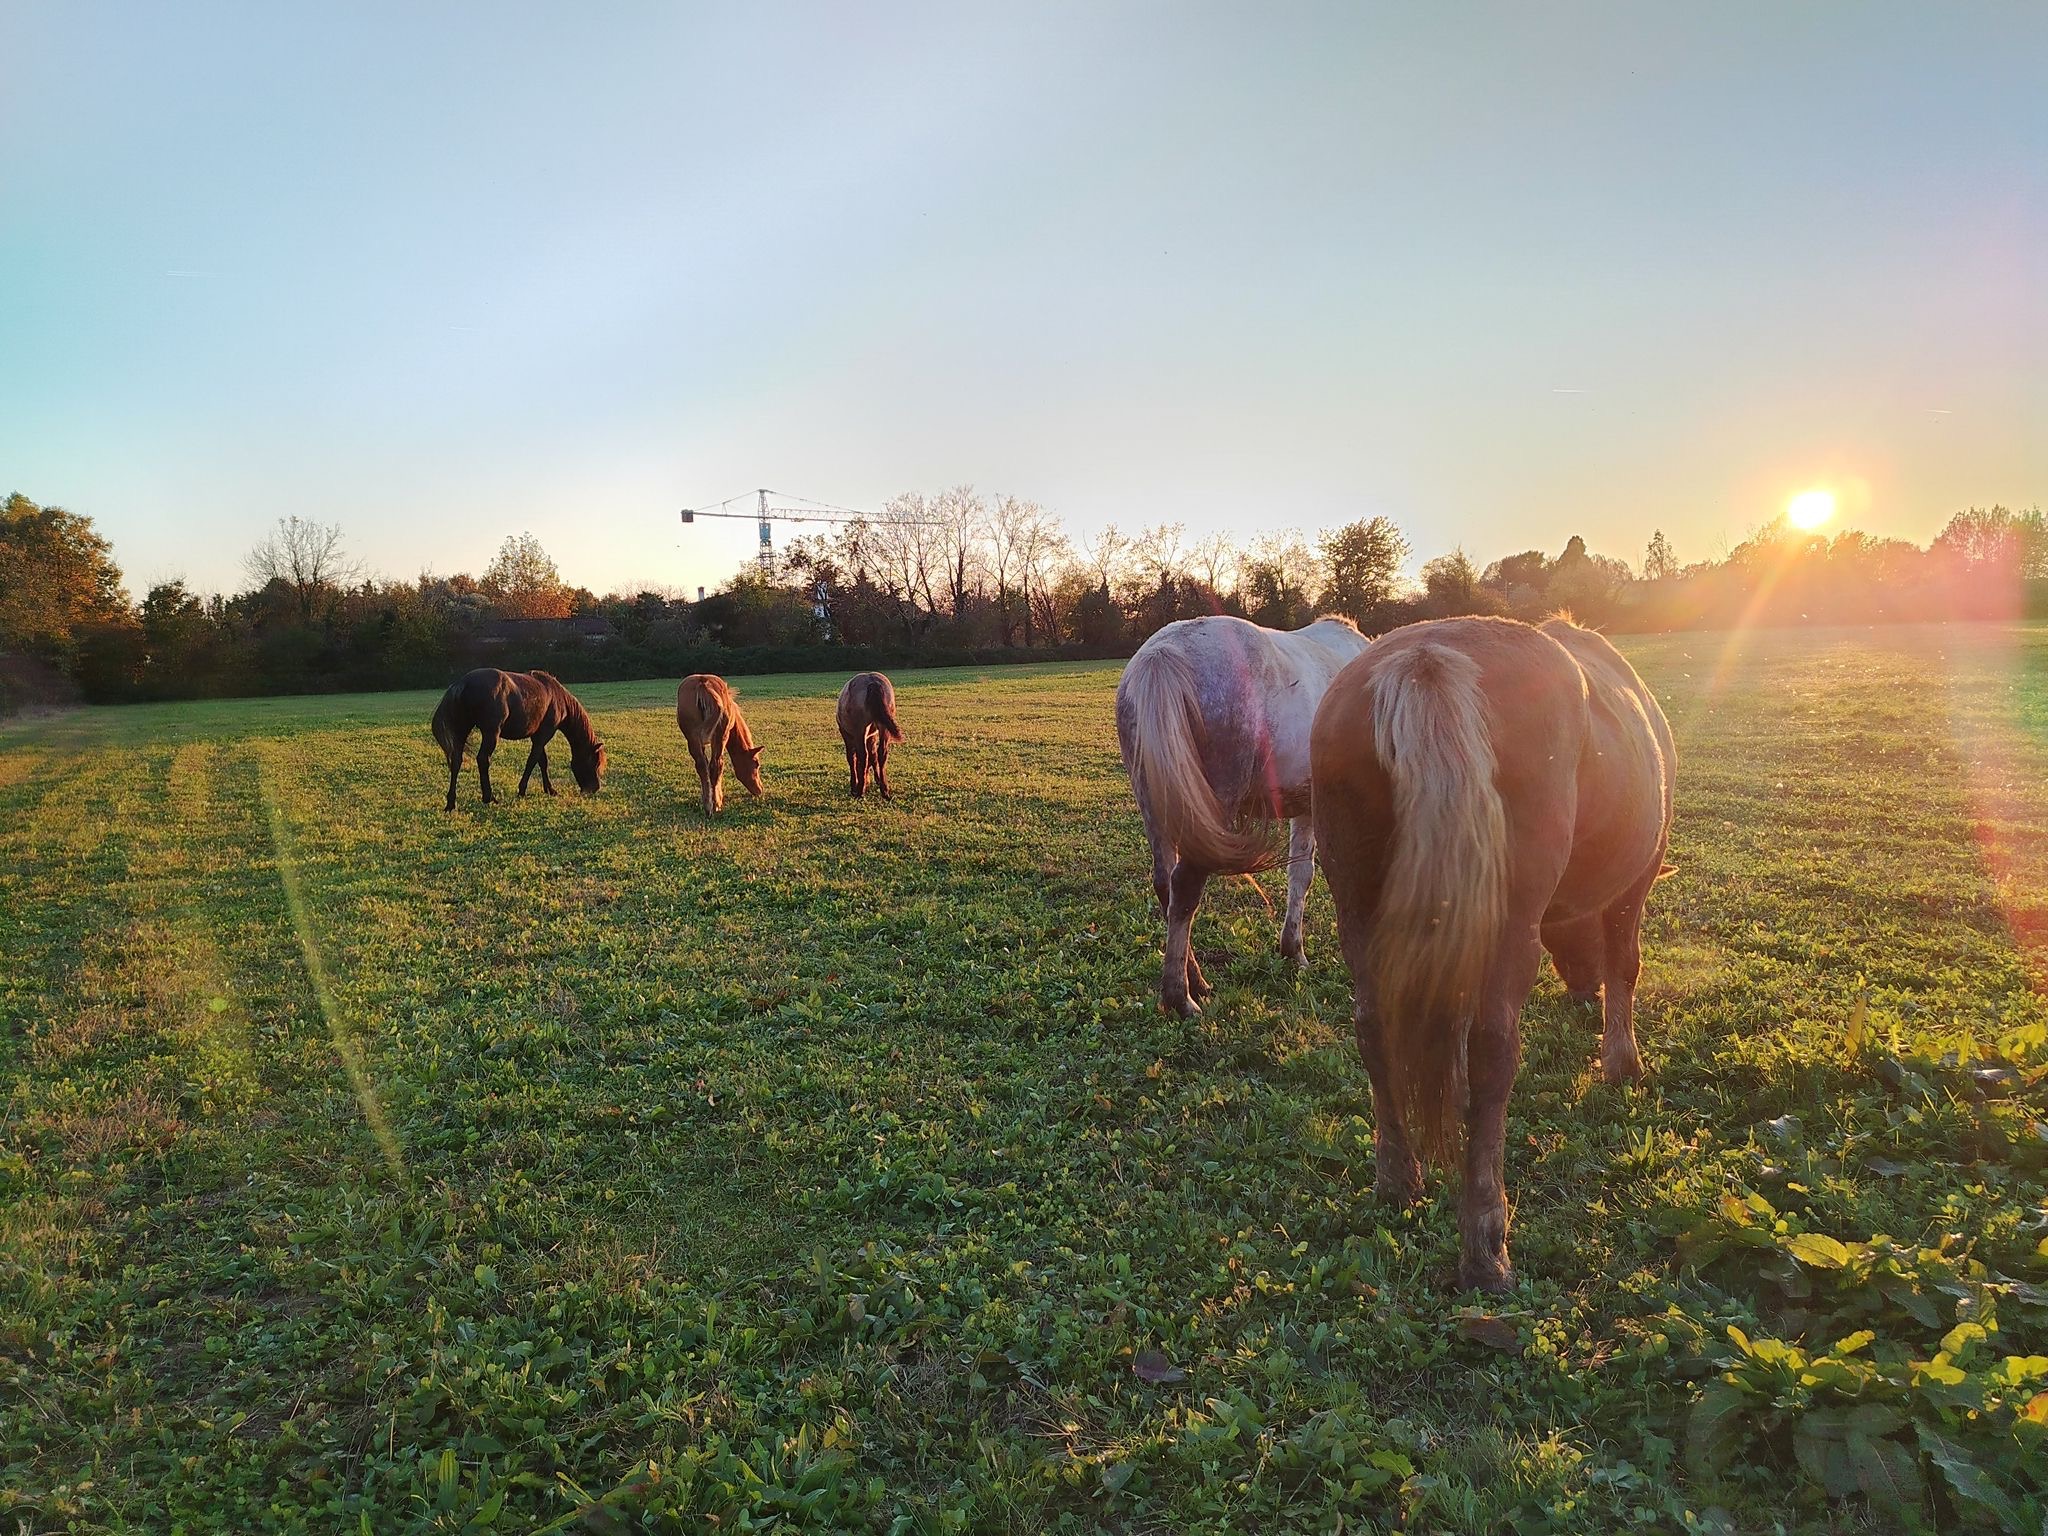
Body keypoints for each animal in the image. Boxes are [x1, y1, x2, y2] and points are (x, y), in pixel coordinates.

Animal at [431, 668, 606, 812]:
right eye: (595, 762)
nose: (594, 788)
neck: (557, 697)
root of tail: (462, 683)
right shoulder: (544, 735)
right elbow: (532, 761)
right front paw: (522, 790)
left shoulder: (537, 736)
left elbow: (542, 761)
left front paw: (549, 789)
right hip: (491, 733)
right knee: (483, 759)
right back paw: (489, 797)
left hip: (461, 732)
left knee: (456, 762)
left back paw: (451, 803)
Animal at [676, 673, 764, 817]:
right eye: (756, 764)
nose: (759, 790)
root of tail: (703, 684)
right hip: (719, 737)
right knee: (716, 765)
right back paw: (715, 805)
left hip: (695, 738)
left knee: (705, 766)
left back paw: (709, 806)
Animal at [1115, 614, 1371, 1017]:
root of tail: (1163, 652)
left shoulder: (1306, 807)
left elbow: (1300, 874)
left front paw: (1291, 950)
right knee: (1184, 886)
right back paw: (1180, 997)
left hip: (1155, 805)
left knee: (1165, 883)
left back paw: (1195, 980)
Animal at [1309, 615, 1674, 1292]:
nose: (1580, 991)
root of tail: (1426, 661)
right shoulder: (1634, 884)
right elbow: (1627, 965)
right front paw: (1622, 1062)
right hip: (1510, 926)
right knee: (1493, 1051)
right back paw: (1485, 1245)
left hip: (1358, 910)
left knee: (1373, 1029)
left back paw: (1399, 1180)